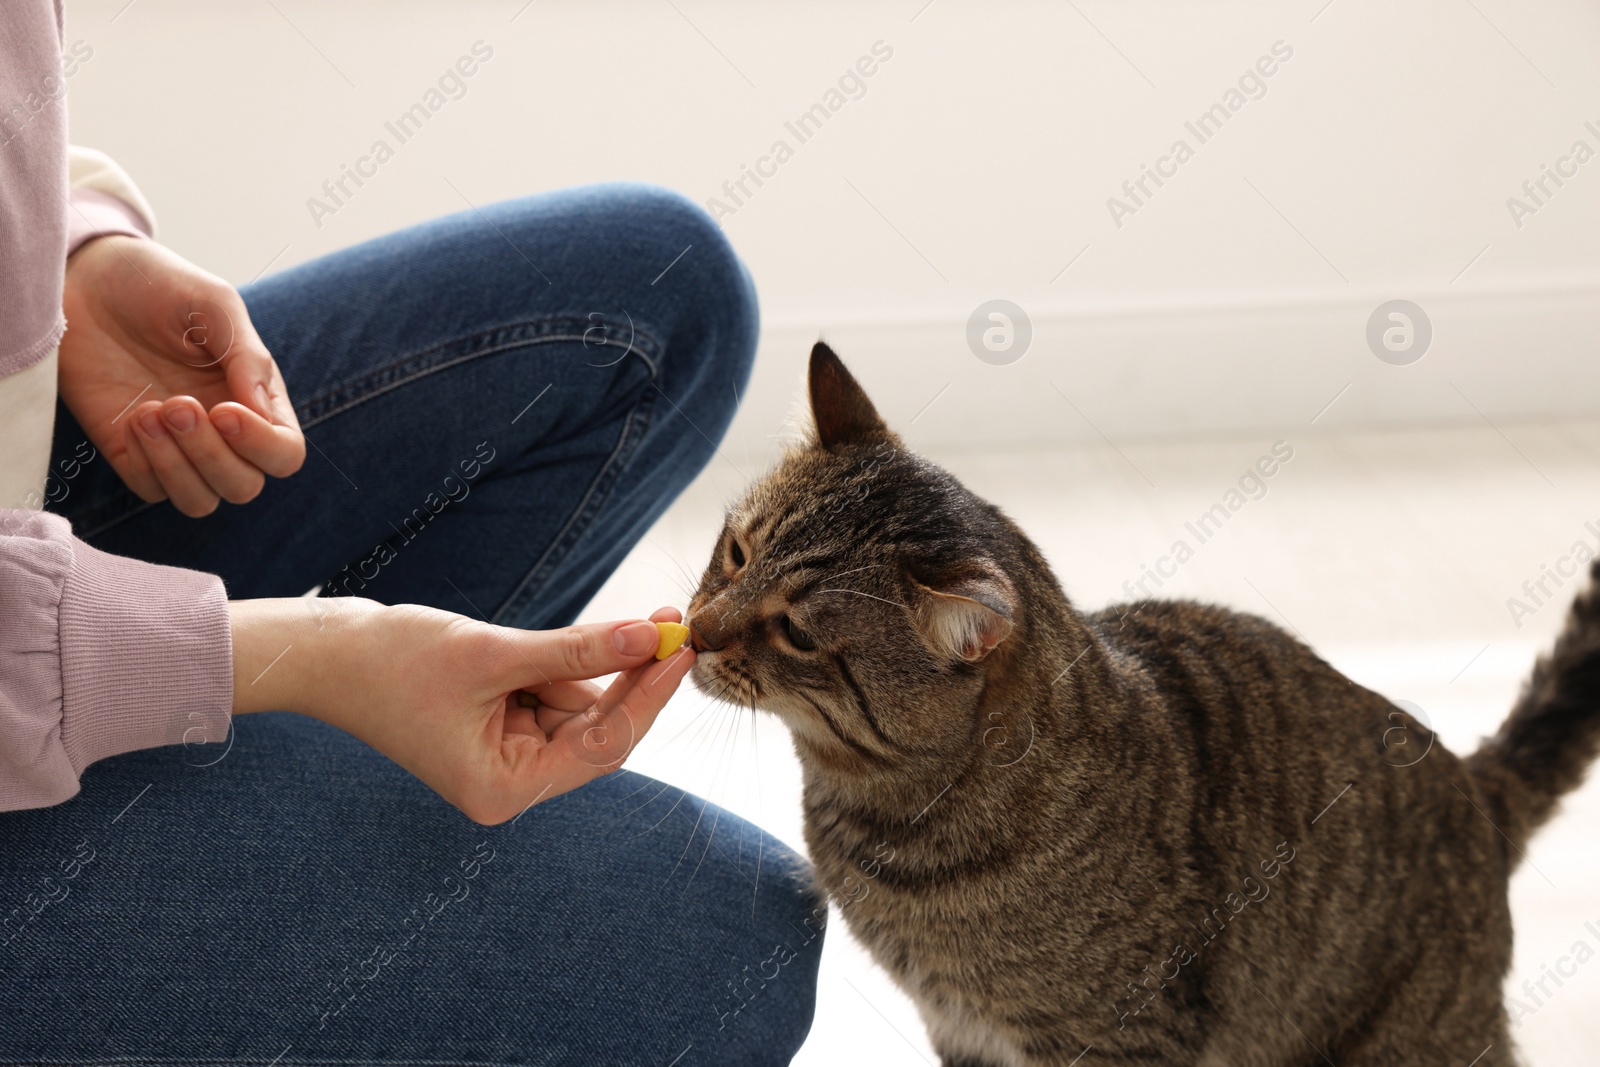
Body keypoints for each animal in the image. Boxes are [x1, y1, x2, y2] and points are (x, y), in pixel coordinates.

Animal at [684, 347, 1600, 1062]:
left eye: (798, 632)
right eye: (737, 552)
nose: (694, 631)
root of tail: (1471, 782)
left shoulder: (1116, 1037)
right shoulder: (961, 1028)